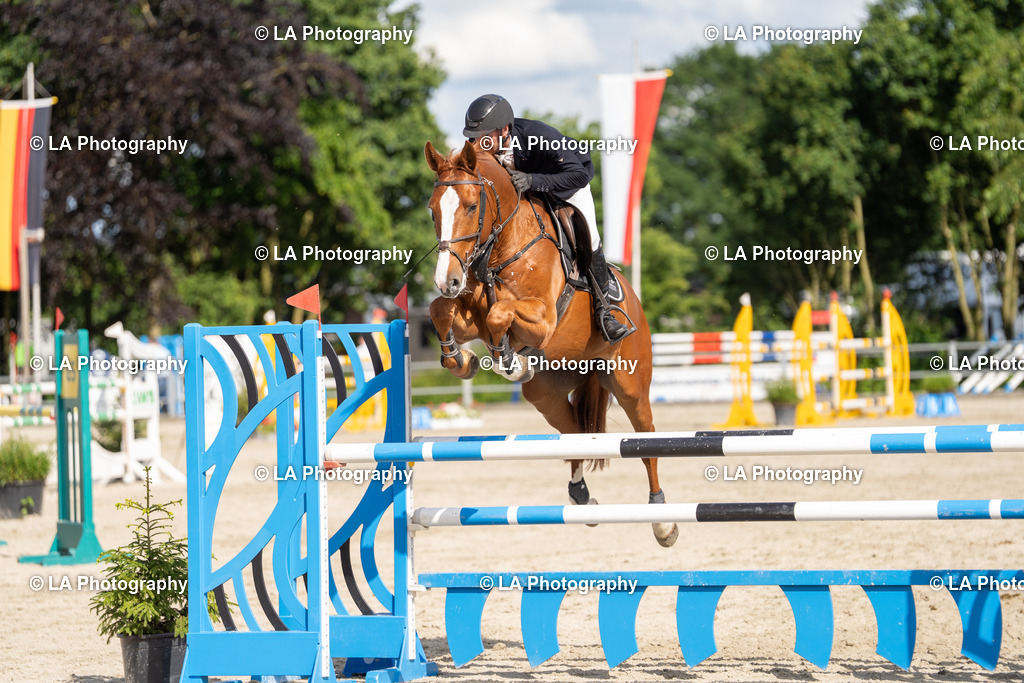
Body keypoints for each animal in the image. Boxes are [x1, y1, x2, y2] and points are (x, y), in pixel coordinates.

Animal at [423, 140, 678, 548]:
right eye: (433, 210)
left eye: (471, 206)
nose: (447, 280)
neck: (502, 246)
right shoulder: (469, 317)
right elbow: (441, 310)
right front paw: (461, 361)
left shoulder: (541, 321)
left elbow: (500, 315)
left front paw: (507, 361)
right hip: (548, 393)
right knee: (574, 434)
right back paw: (582, 499)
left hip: (629, 382)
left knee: (647, 441)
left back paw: (662, 520)